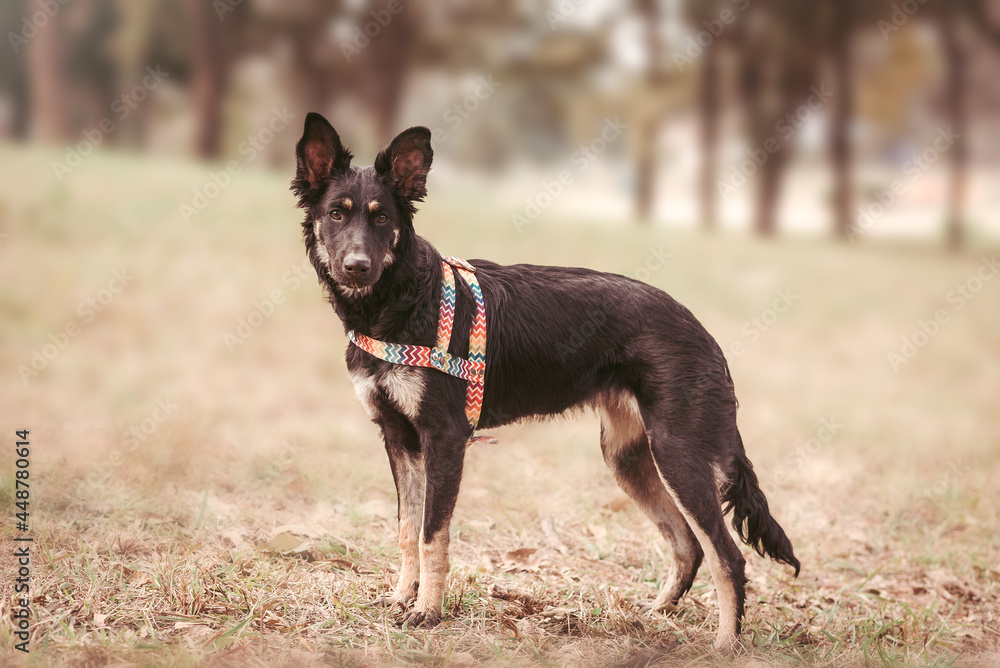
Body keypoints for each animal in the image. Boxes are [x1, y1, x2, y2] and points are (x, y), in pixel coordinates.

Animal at [290, 112, 796, 648]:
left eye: (382, 218)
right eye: (336, 214)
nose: (357, 267)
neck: (401, 300)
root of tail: (703, 334)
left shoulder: (444, 439)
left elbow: (432, 537)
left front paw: (427, 612)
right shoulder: (397, 437)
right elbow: (407, 531)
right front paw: (401, 600)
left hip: (678, 454)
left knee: (727, 555)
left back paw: (724, 643)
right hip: (628, 459)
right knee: (688, 545)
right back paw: (655, 615)